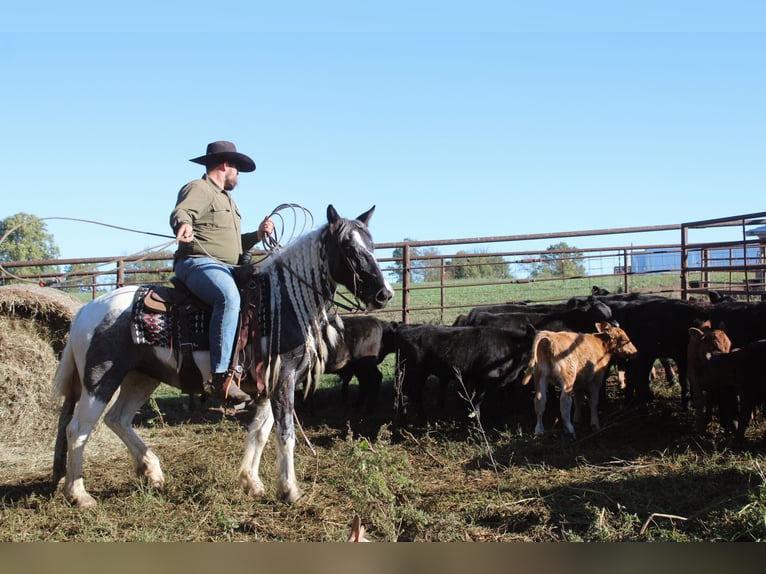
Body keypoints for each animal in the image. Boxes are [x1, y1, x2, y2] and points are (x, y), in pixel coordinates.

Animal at [52, 204, 394, 508]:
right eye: (348, 247)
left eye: (372, 245)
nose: (384, 294)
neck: (282, 302)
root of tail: (86, 311)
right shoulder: (284, 380)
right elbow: (285, 434)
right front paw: (290, 491)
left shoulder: (269, 384)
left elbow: (260, 433)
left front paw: (252, 483)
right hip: (100, 380)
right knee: (78, 430)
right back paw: (79, 494)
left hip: (141, 377)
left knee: (117, 419)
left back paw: (152, 471)